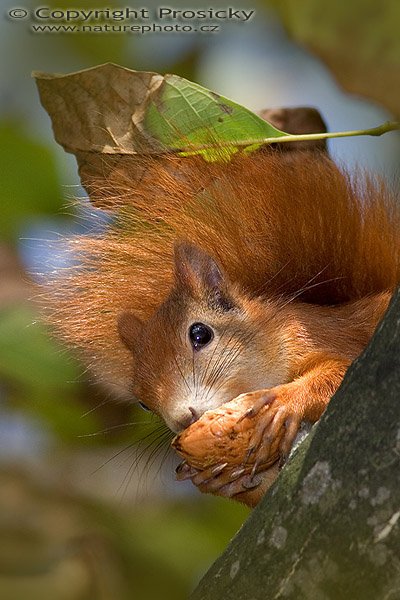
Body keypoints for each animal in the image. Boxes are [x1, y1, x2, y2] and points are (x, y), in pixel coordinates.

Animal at [45, 113, 400, 506]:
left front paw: (284, 400)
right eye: (141, 401)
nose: (182, 419)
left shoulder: (321, 334)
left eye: (200, 334)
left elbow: (340, 368)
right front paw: (219, 479)